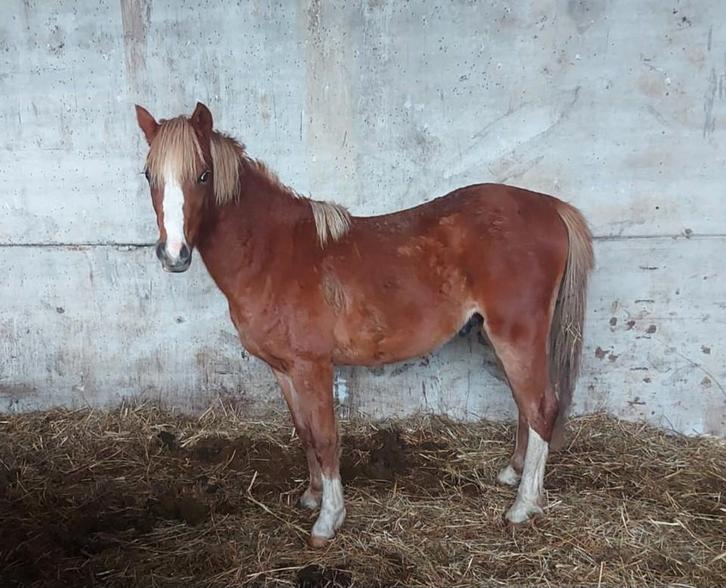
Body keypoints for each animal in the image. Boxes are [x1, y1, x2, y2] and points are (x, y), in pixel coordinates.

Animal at [134, 102, 593, 547]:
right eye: (149, 174)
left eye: (203, 174)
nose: (173, 255)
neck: (273, 254)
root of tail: (550, 207)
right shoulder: (283, 370)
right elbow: (304, 431)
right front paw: (312, 495)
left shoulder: (313, 367)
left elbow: (325, 437)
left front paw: (328, 520)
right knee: (524, 405)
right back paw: (512, 474)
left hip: (517, 335)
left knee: (541, 407)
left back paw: (523, 506)